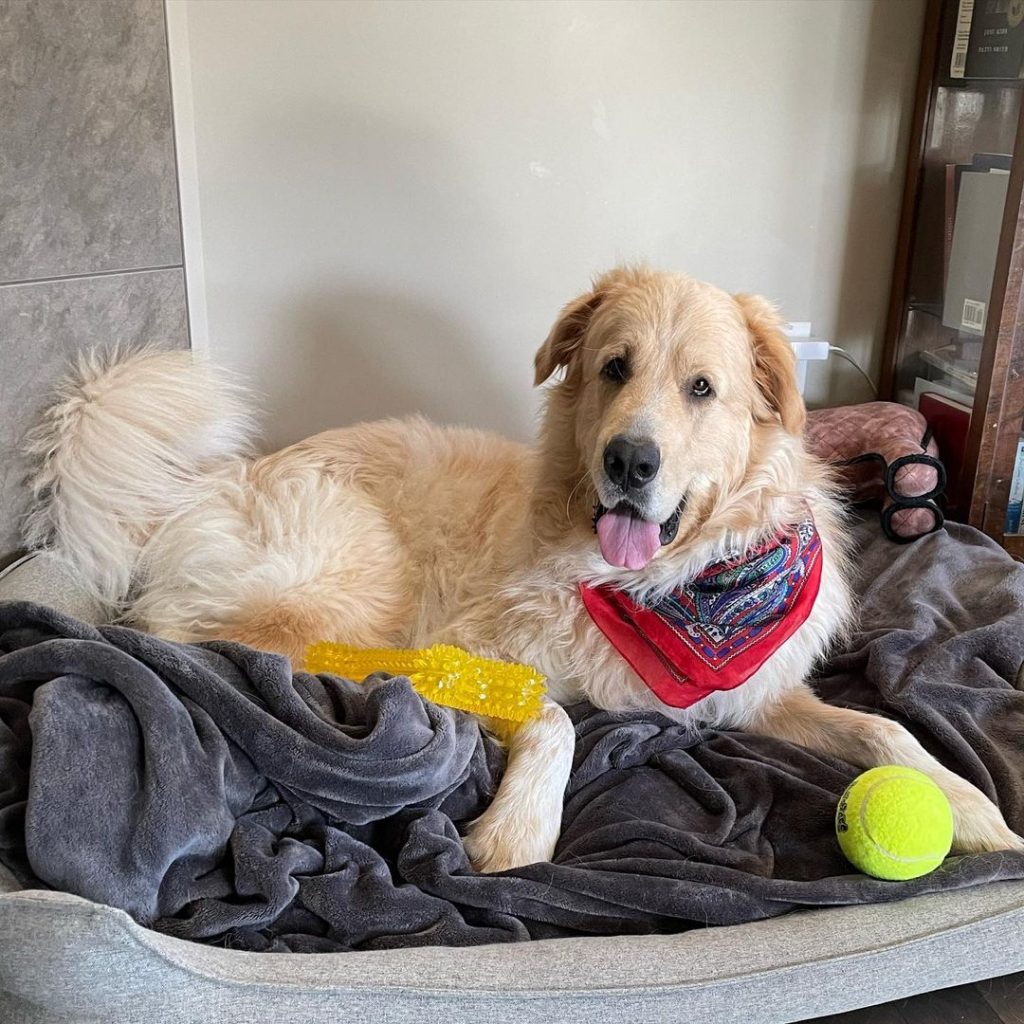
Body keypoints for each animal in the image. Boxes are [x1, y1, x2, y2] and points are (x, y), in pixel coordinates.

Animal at [28, 266, 1019, 872]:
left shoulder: (754, 699)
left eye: (702, 389)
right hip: (354, 585)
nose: (629, 462)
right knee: (185, 643)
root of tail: (203, 485)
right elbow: (556, 719)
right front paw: (516, 832)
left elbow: (884, 731)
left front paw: (972, 811)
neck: (674, 588)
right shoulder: (478, 648)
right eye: (614, 368)